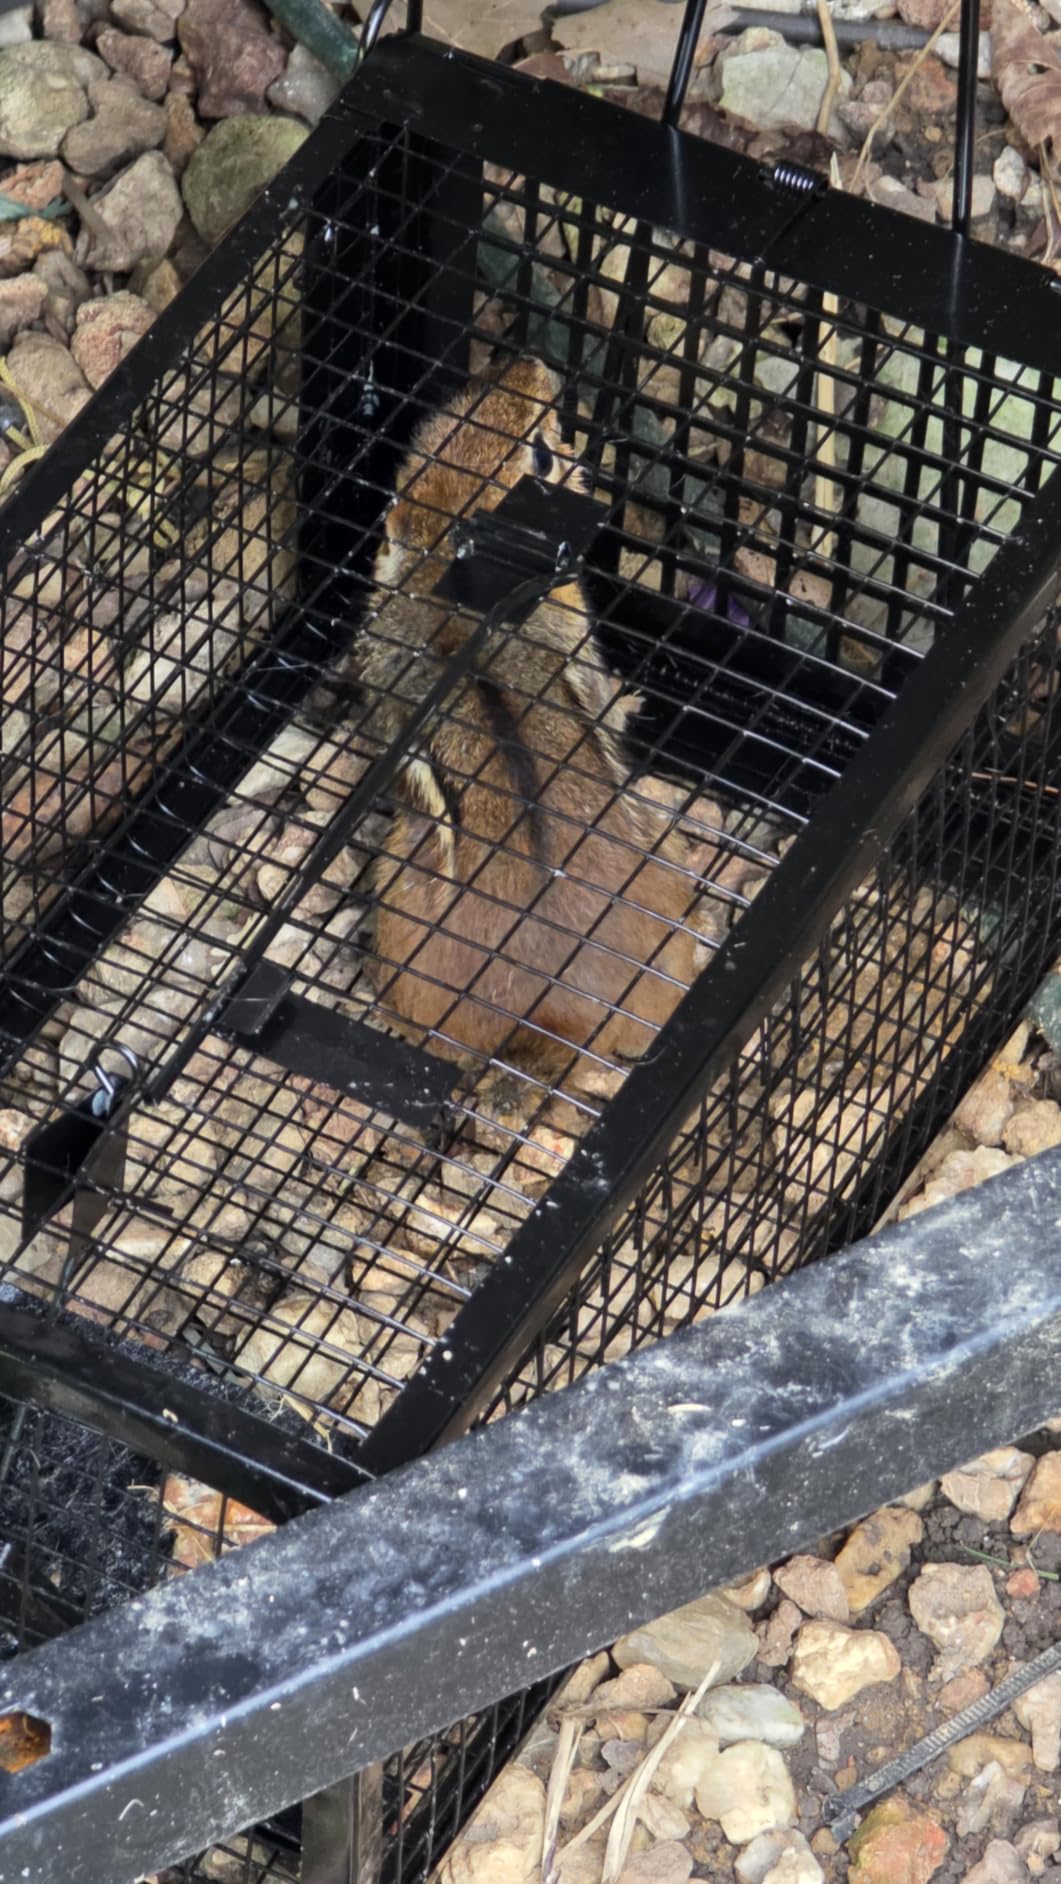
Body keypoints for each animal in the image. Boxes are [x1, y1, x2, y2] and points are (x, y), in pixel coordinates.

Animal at [352, 356, 698, 1087]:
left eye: (443, 422)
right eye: (542, 453)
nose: (531, 363)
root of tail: (554, 1023)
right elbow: (602, 700)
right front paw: (630, 696)